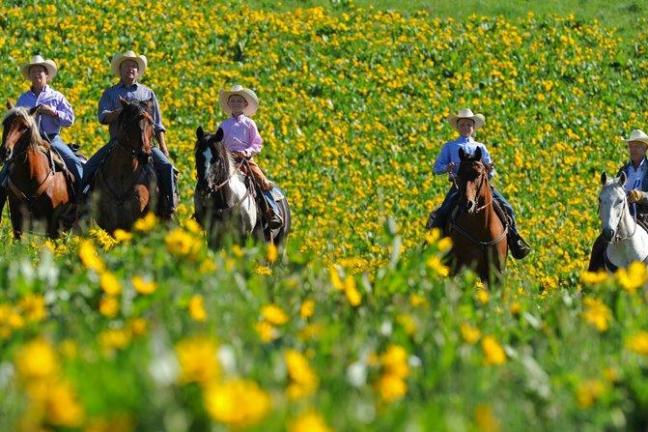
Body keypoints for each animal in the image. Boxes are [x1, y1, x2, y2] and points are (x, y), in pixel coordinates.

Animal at [0, 104, 75, 240]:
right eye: (5, 123)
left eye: (24, 127)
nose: (5, 152)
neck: (30, 177)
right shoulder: (17, 222)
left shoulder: (53, 225)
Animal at [448, 147, 508, 284]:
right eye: (459, 174)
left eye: (478, 174)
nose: (466, 204)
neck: (482, 228)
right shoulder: (460, 268)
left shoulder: (496, 275)